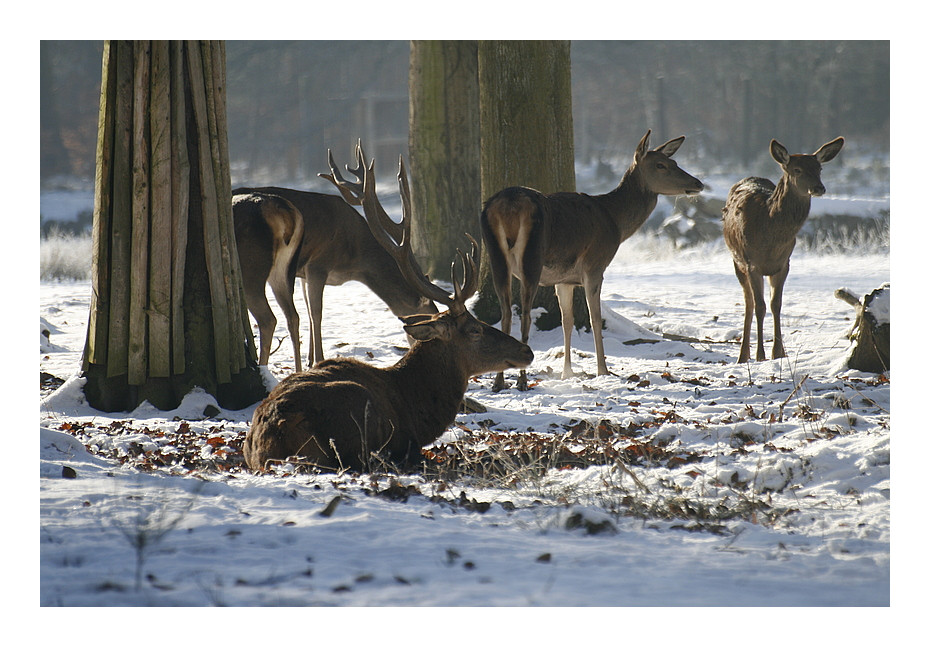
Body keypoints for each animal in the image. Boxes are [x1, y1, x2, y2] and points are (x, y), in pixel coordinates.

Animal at [230, 184, 436, 374]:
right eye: (426, 315)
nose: (416, 348)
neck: (355, 259)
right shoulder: (316, 265)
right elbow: (315, 312)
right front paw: (317, 359)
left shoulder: (307, 271)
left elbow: (310, 311)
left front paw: (310, 360)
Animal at [478, 130, 704, 390]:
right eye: (661, 165)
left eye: (674, 162)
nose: (698, 183)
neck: (616, 223)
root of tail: (508, 205)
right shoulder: (595, 265)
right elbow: (594, 318)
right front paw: (603, 370)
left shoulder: (564, 278)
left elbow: (567, 321)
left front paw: (567, 372)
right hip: (532, 256)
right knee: (524, 313)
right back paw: (522, 380)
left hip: (495, 255)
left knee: (506, 311)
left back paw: (499, 381)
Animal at [720, 135, 844, 364]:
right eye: (797, 169)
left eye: (819, 168)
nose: (819, 188)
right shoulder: (752, 263)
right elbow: (760, 306)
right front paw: (760, 356)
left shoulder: (784, 263)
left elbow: (776, 304)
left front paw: (779, 353)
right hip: (736, 261)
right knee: (749, 303)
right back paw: (743, 355)